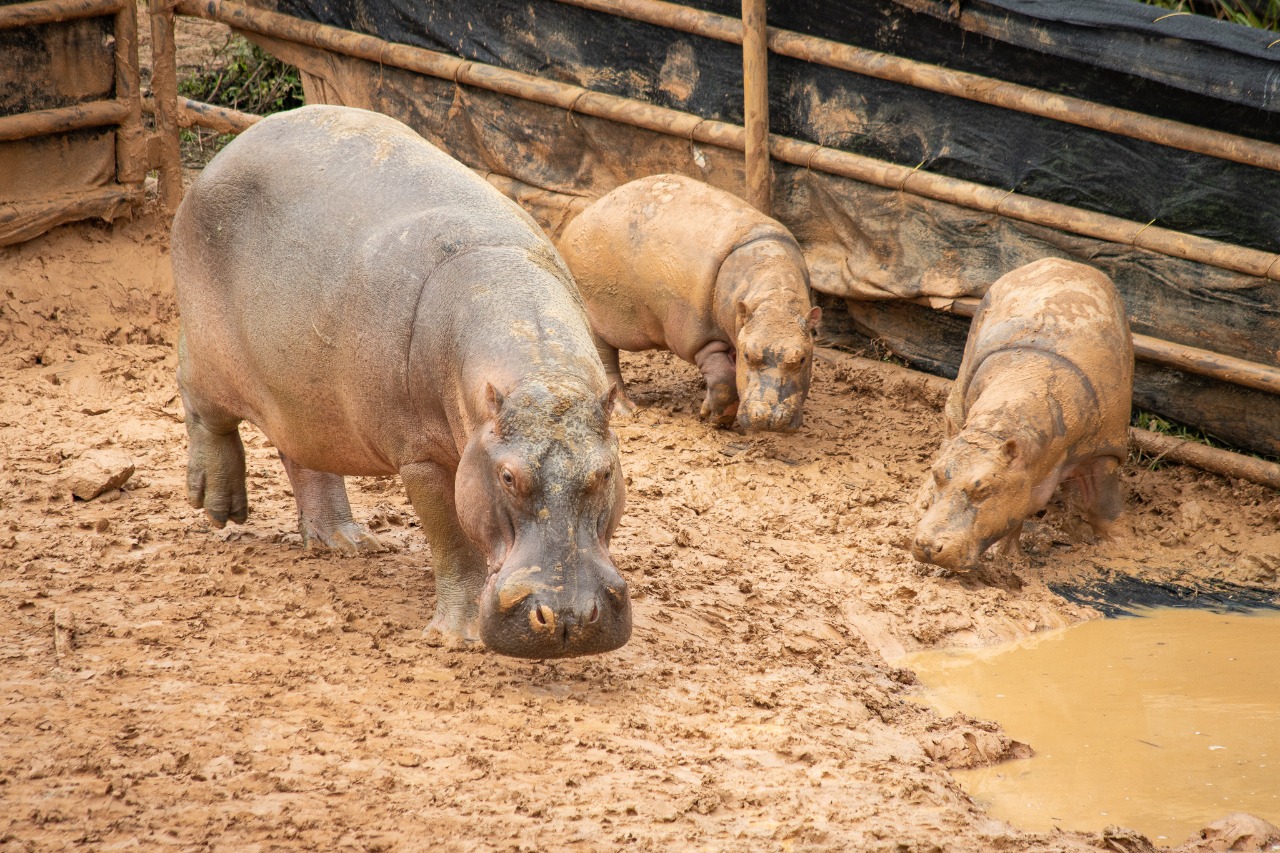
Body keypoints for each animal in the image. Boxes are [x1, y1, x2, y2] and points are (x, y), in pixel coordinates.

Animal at [911, 256, 1131, 568]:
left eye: (984, 488)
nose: (928, 546)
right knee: (950, 425)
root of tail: (1061, 261)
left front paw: (1123, 550)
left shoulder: (1103, 448)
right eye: (937, 473)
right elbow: (1014, 514)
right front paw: (1005, 560)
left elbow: (1103, 505)